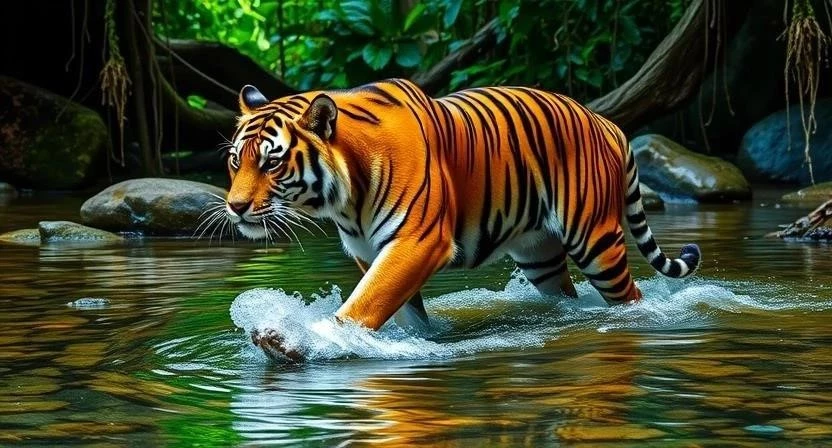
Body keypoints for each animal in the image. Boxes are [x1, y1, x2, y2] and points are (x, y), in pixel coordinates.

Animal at [223, 78, 701, 360]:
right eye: (234, 161)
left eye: (271, 163)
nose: (235, 206)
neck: (345, 198)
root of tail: (607, 122)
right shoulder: (370, 251)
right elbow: (401, 311)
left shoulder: (418, 242)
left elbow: (364, 303)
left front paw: (302, 339)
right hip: (540, 254)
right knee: (563, 293)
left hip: (596, 241)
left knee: (631, 294)